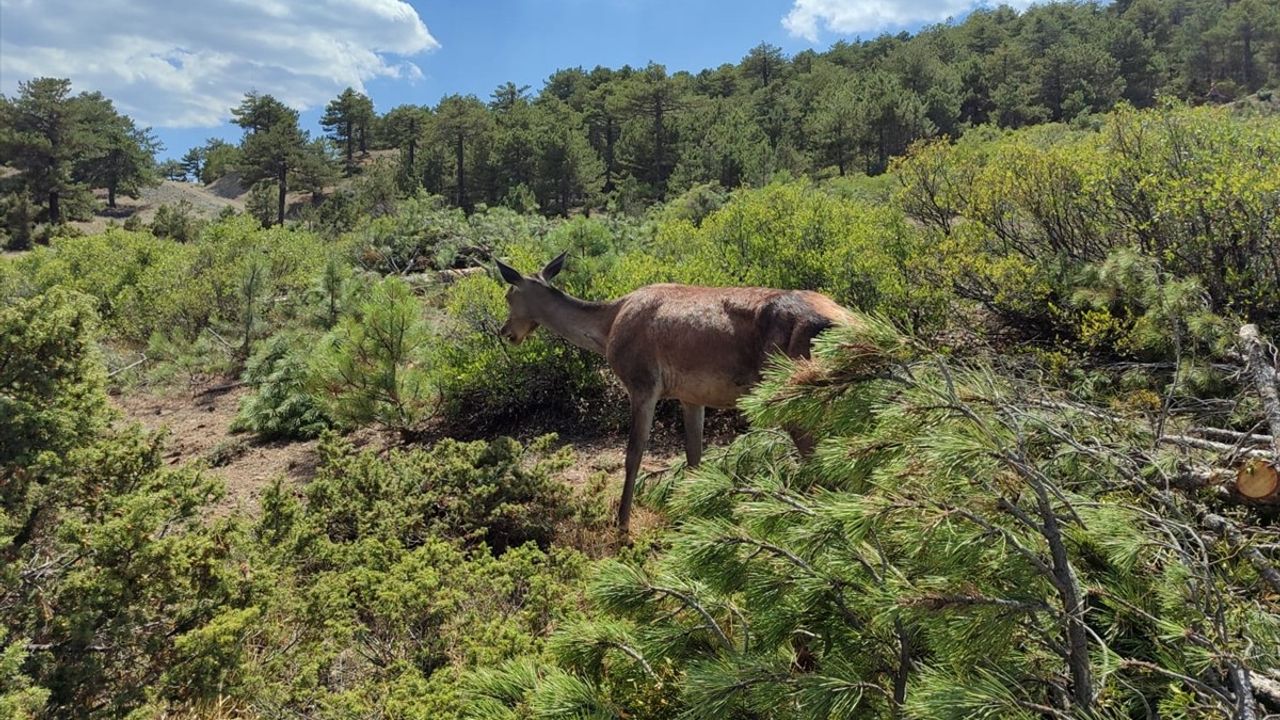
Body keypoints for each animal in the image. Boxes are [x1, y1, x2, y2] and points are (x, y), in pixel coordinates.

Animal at [496, 249, 849, 530]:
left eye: (509, 296)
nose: (506, 332)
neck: (607, 328)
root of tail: (848, 323)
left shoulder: (641, 382)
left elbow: (633, 453)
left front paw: (622, 523)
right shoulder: (691, 395)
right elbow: (695, 456)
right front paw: (693, 514)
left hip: (793, 389)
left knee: (818, 454)